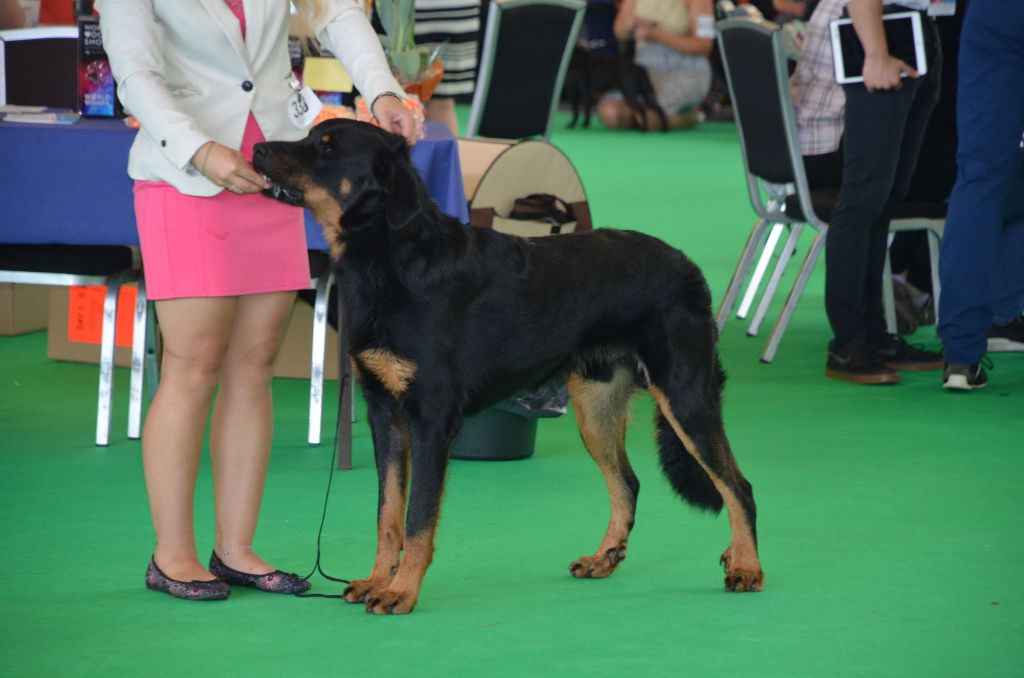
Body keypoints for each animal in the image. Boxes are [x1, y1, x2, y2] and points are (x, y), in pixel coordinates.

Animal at [252, 120, 765, 614]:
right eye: (307, 136)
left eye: (326, 146)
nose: (257, 149)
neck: (391, 257)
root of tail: (689, 267)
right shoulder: (385, 412)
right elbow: (388, 515)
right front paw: (378, 581)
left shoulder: (432, 419)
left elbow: (417, 519)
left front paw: (402, 593)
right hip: (595, 404)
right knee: (628, 483)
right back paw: (605, 558)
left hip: (685, 396)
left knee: (738, 485)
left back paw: (746, 566)